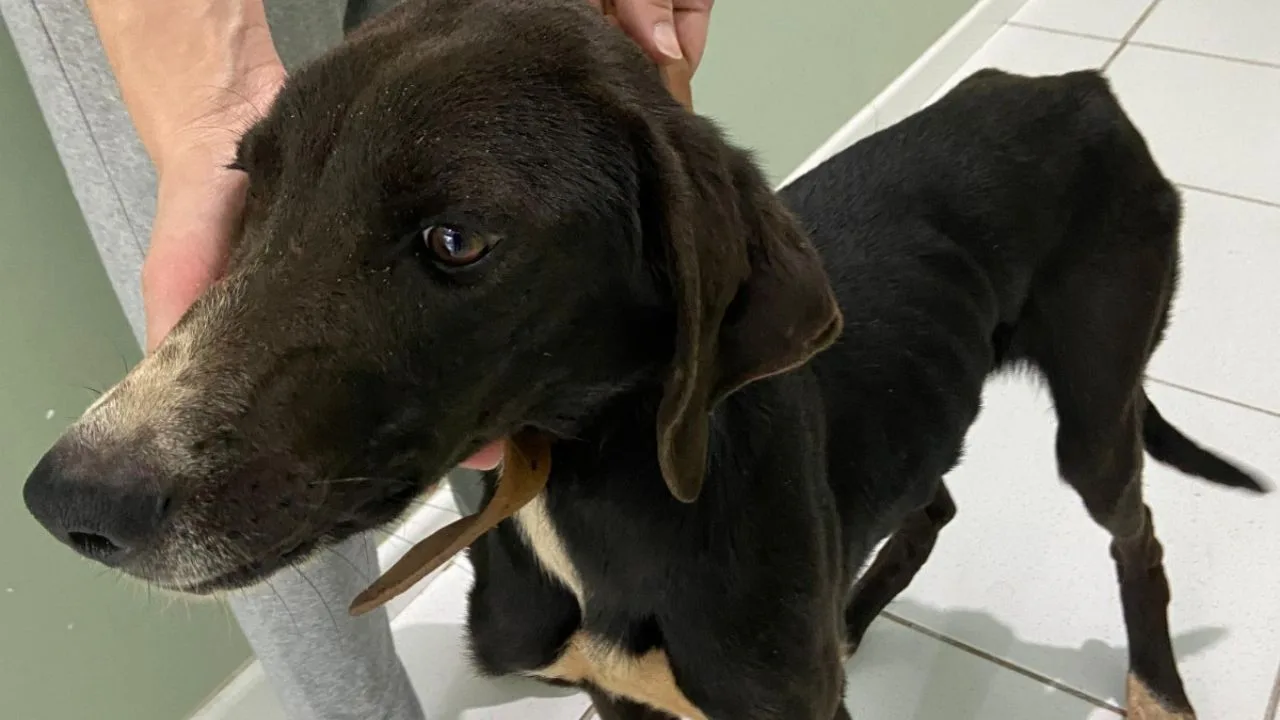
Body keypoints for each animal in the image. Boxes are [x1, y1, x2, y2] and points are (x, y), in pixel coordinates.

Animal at [21, 0, 1268, 718]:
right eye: (249, 182)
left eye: (455, 239)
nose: (69, 502)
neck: (578, 502)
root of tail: (1077, 86)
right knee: (928, 505)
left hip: (1096, 400)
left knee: (1136, 535)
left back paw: (1155, 693)